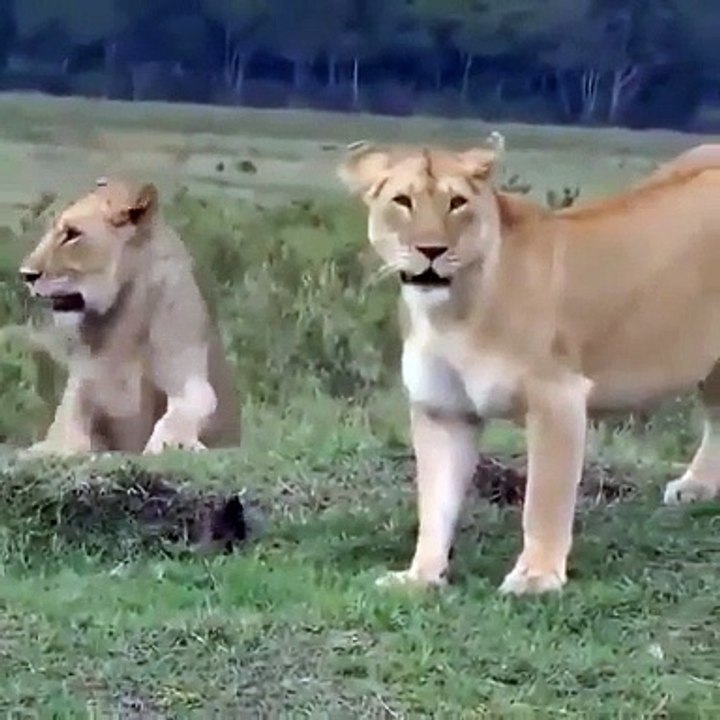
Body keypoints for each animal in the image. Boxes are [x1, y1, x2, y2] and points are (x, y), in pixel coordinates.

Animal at [17, 178, 241, 456]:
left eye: (72, 234)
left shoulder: (189, 378)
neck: (123, 317)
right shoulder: (83, 389)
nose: (26, 274)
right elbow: (71, 430)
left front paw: (171, 443)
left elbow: (186, 410)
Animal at [338, 136, 720, 596]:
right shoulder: (443, 410)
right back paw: (697, 488)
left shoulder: (558, 396)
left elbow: (544, 498)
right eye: (402, 201)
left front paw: (536, 578)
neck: (451, 313)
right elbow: (435, 503)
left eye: (457, 202)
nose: (431, 251)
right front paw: (419, 576)